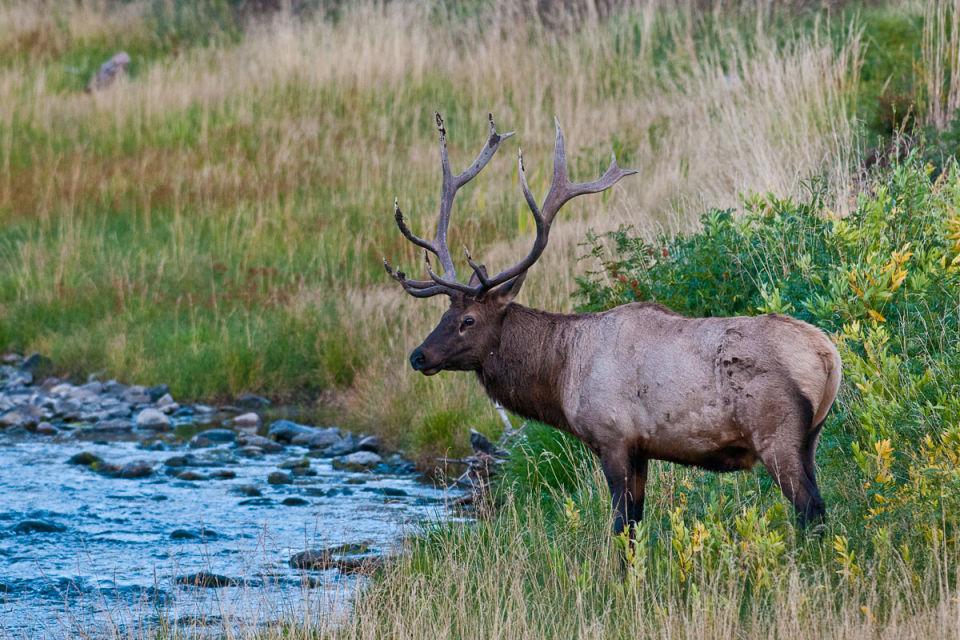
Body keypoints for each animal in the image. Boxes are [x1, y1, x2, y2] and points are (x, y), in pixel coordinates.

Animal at [384, 113, 842, 538]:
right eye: (443, 314)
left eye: (468, 320)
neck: (561, 374)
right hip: (812, 437)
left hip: (776, 434)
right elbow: (635, 525)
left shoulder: (614, 438)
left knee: (812, 510)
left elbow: (622, 526)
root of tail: (829, 356)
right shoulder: (641, 449)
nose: (418, 355)